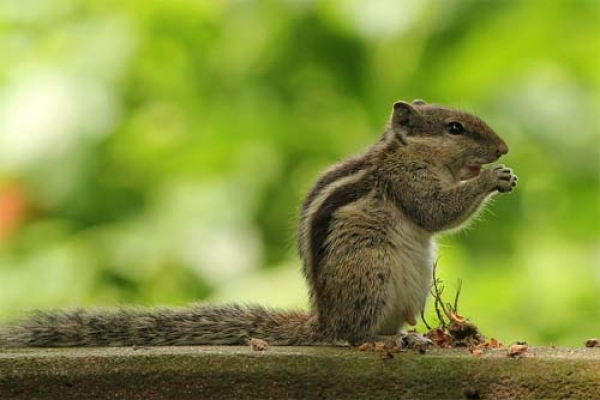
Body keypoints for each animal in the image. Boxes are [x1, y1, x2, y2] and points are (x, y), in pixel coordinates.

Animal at [0, 100, 516, 346]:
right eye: (454, 128)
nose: (504, 149)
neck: (407, 152)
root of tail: (323, 319)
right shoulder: (406, 181)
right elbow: (435, 211)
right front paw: (492, 177)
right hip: (369, 269)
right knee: (353, 334)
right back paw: (383, 338)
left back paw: (411, 334)